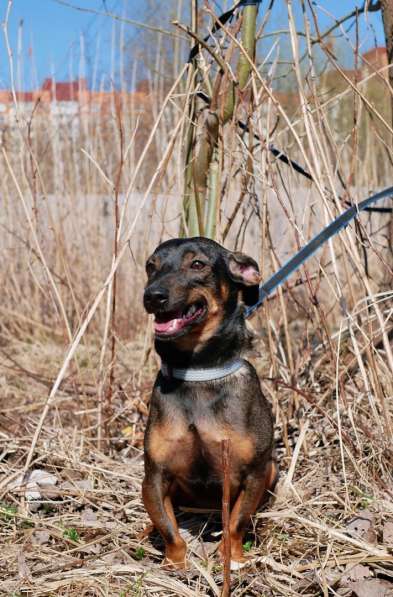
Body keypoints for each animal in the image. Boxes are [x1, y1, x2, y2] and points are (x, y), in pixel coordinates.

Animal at [142, 236, 276, 568]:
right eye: (151, 266)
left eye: (197, 264)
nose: (152, 296)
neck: (198, 371)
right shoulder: (154, 476)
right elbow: (169, 531)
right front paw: (175, 563)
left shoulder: (255, 472)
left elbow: (236, 523)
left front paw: (234, 558)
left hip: (272, 470)